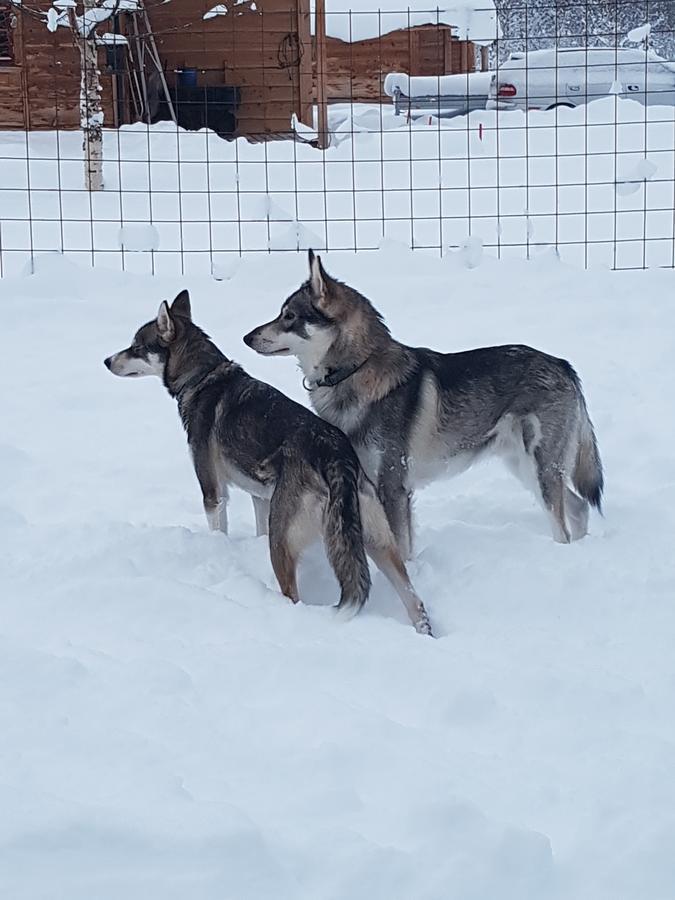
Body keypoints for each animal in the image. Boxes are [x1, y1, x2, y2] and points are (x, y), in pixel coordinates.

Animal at [105, 292, 434, 636]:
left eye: (137, 346)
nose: (107, 361)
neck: (202, 376)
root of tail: (336, 457)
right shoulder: (260, 497)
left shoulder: (213, 492)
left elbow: (218, 526)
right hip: (377, 542)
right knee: (415, 601)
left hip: (284, 543)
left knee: (293, 594)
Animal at [246, 248, 604, 556]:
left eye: (289, 316)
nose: (246, 337)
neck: (354, 370)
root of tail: (563, 365)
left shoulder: (393, 487)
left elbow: (400, 549)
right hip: (524, 466)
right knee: (578, 507)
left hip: (539, 467)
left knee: (564, 518)